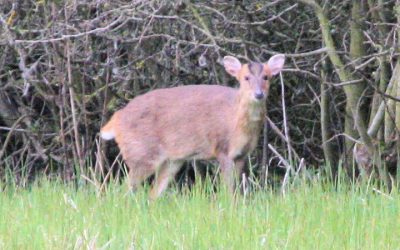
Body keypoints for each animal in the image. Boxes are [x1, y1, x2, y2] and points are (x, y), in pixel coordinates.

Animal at [101, 54, 286, 199]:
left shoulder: (241, 154)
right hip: (141, 153)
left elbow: (237, 189)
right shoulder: (222, 148)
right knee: (122, 190)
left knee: (152, 194)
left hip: (171, 160)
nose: (259, 94)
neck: (236, 123)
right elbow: (228, 189)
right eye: (245, 77)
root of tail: (115, 120)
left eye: (266, 77)